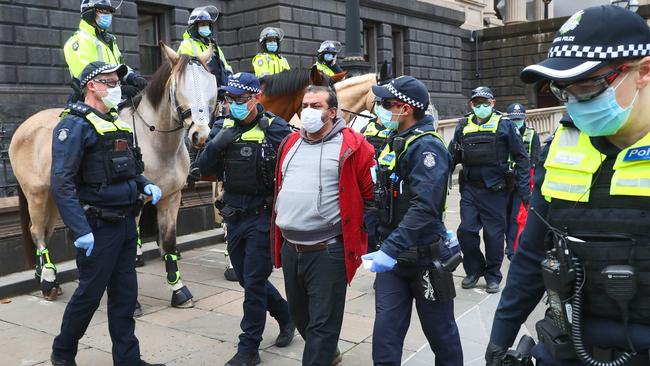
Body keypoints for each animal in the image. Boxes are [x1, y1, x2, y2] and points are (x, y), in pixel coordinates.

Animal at [8, 42, 215, 308]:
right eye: (178, 86)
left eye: (211, 85)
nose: (201, 135)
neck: (156, 141)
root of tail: (23, 126)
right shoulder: (133, 205)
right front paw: (132, 302)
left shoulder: (171, 198)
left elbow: (169, 242)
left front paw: (178, 290)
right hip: (36, 194)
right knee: (36, 231)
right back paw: (48, 282)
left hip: (54, 197)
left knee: (44, 230)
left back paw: (46, 276)